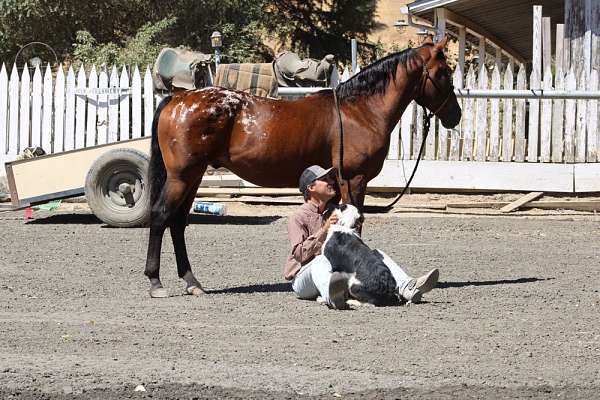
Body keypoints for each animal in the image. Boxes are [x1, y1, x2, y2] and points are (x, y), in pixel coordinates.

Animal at [144, 37, 460, 298]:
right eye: (444, 73)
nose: (455, 116)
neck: (360, 111)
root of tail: (177, 98)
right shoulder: (354, 179)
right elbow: (355, 224)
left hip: (193, 177)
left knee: (177, 223)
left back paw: (192, 282)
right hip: (181, 177)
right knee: (161, 217)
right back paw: (155, 282)